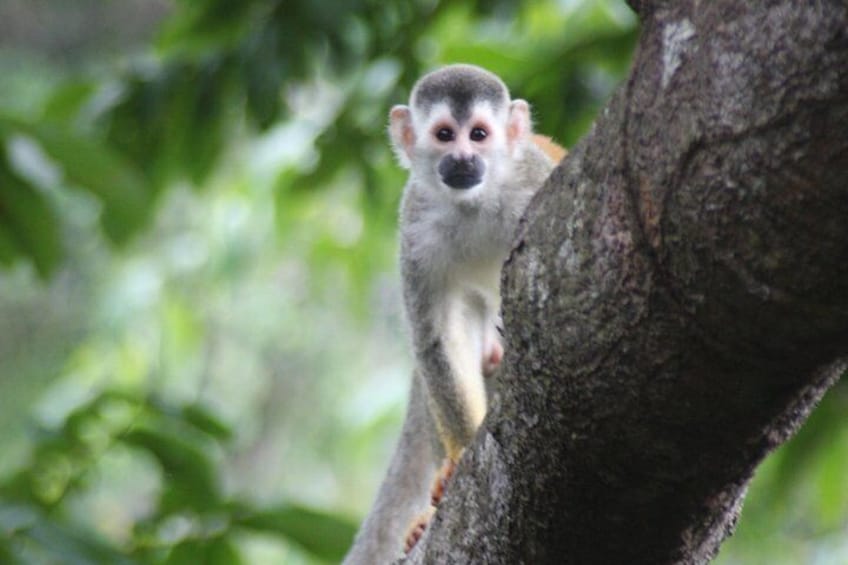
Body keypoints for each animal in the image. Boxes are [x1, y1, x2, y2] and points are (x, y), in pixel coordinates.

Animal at [342, 64, 568, 560]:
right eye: (445, 135)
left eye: (478, 134)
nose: (463, 159)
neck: (474, 203)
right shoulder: (415, 222)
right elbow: (438, 338)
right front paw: (460, 456)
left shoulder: (534, 182)